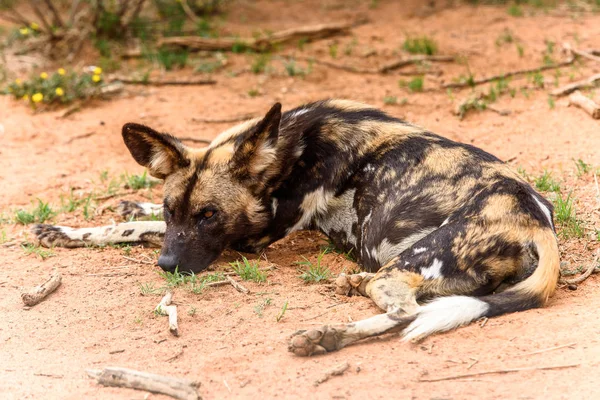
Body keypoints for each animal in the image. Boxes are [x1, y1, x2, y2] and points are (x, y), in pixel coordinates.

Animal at [34, 100, 556, 356]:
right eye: (173, 212)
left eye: (209, 216)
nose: (168, 265)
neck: (290, 150)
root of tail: (540, 225)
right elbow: (137, 220)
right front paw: (95, 219)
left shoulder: (252, 238)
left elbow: (135, 231)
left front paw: (91, 230)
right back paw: (339, 306)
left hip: (414, 259)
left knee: (407, 313)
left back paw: (324, 336)